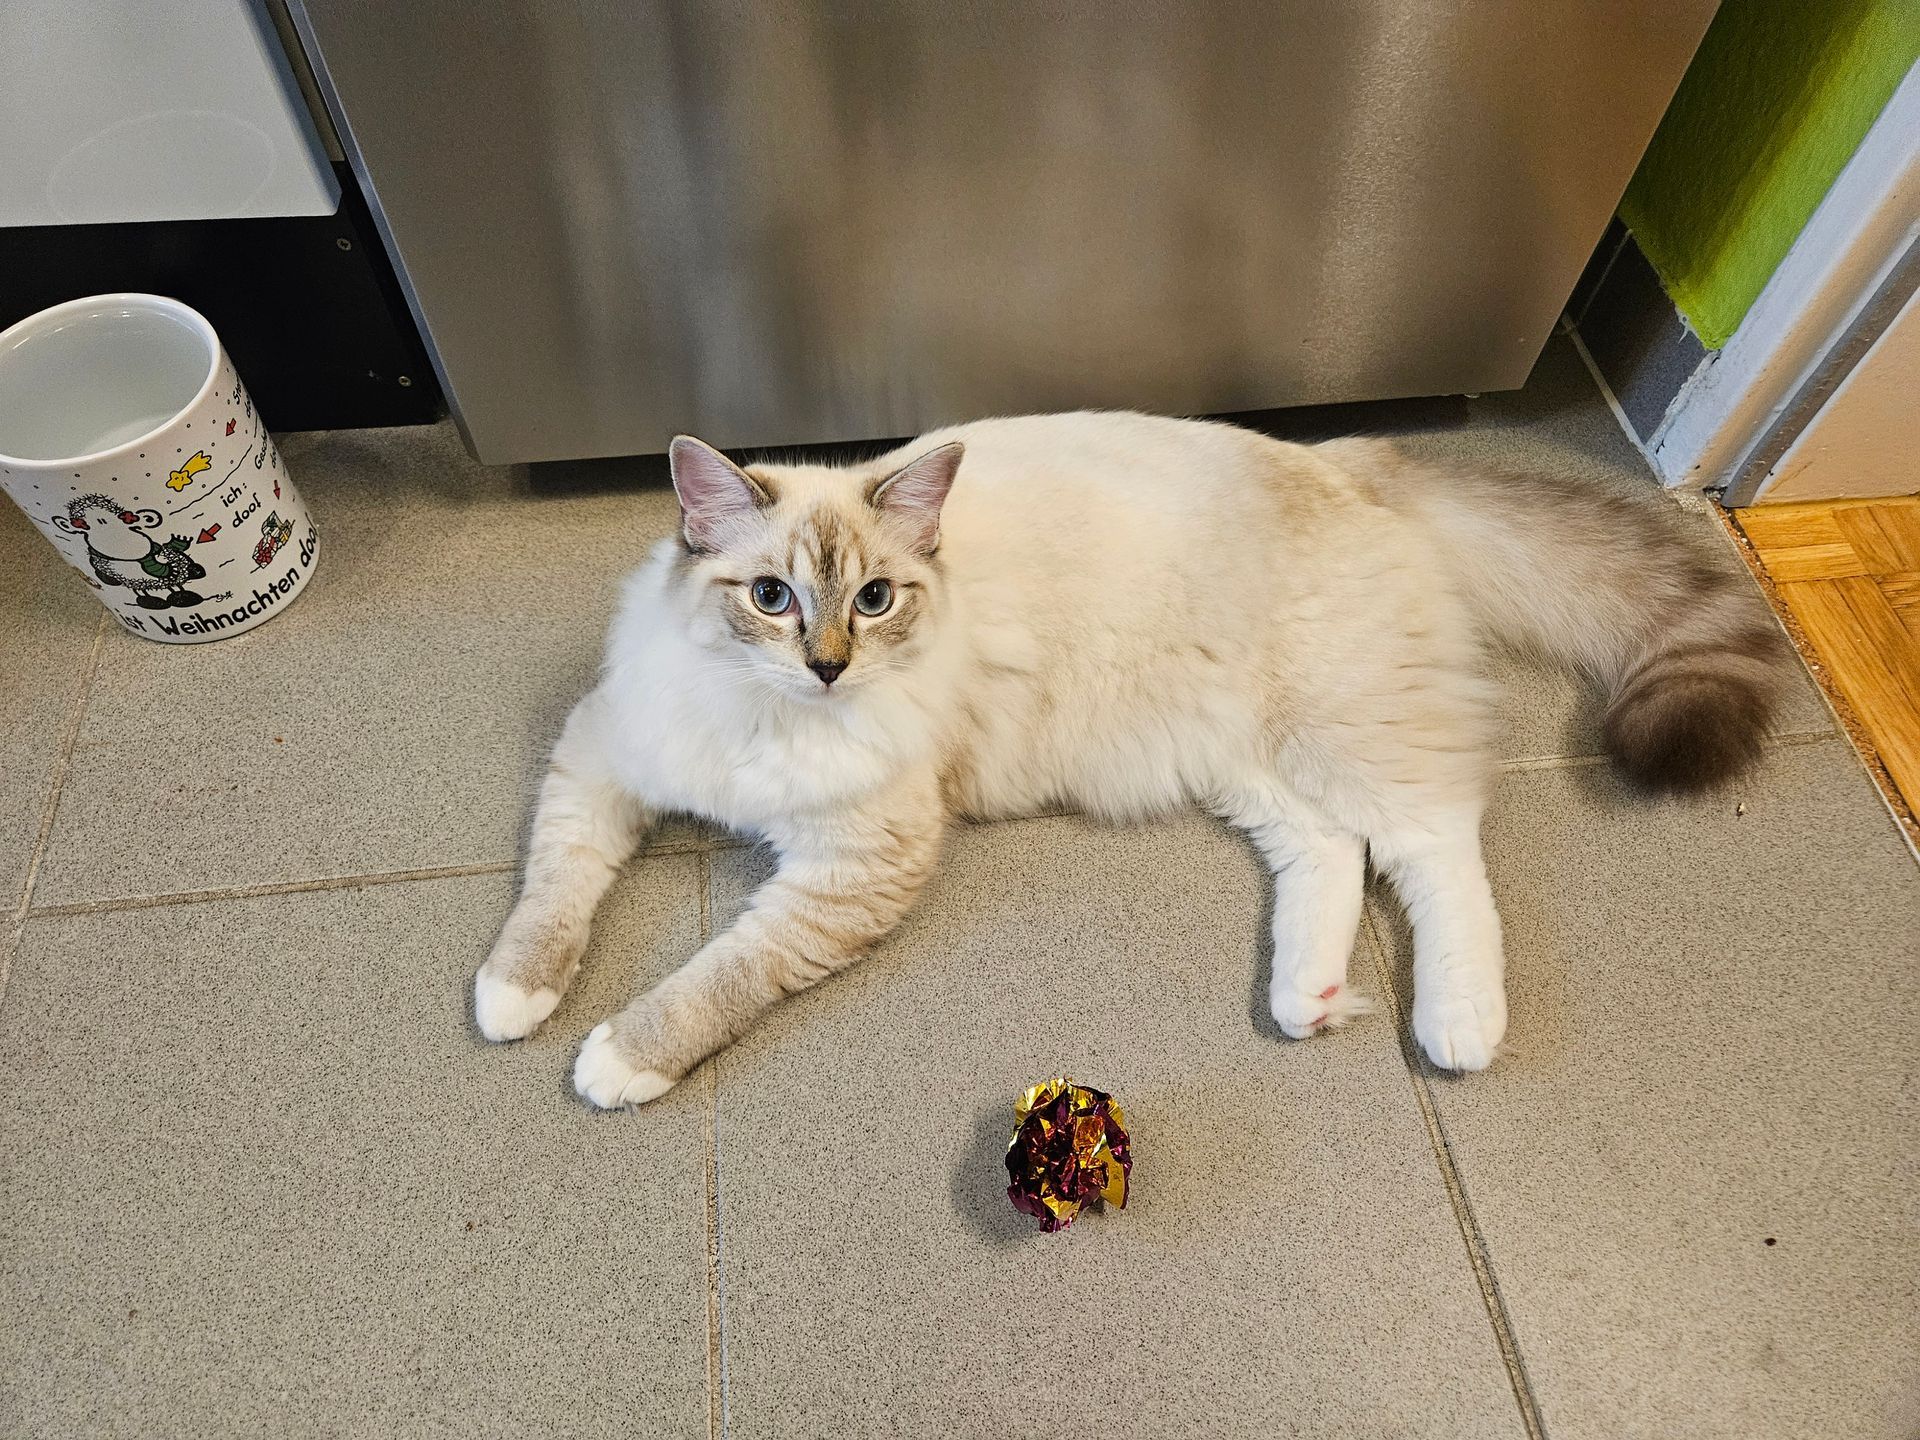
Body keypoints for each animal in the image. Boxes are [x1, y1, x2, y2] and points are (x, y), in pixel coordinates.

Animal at [474, 412, 1790, 1107]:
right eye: (770, 599)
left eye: (877, 600)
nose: (831, 669)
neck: (768, 720)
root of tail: (1346, 451)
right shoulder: (605, 758)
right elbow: (553, 895)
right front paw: (513, 998)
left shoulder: (848, 871)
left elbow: (715, 979)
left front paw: (616, 1059)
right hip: (1246, 759)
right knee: (1331, 852)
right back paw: (1305, 998)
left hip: (1332, 728)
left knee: (1433, 846)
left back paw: (1457, 1025)